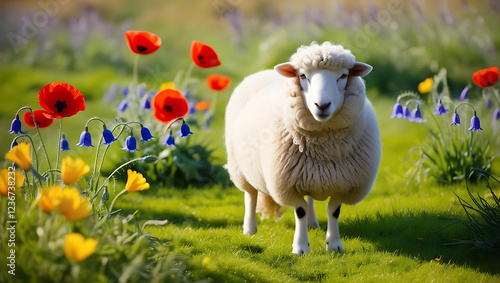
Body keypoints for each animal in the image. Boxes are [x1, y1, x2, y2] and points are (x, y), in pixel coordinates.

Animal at [225, 41, 380, 256]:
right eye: (303, 76)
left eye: (343, 76)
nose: (321, 105)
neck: (324, 147)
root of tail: (264, 71)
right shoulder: (287, 184)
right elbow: (300, 210)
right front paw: (300, 248)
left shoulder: (345, 183)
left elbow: (333, 210)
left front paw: (334, 245)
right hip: (240, 167)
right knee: (250, 196)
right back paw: (250, 229)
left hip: (310, 174)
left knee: (310, 199)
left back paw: (312, 223)